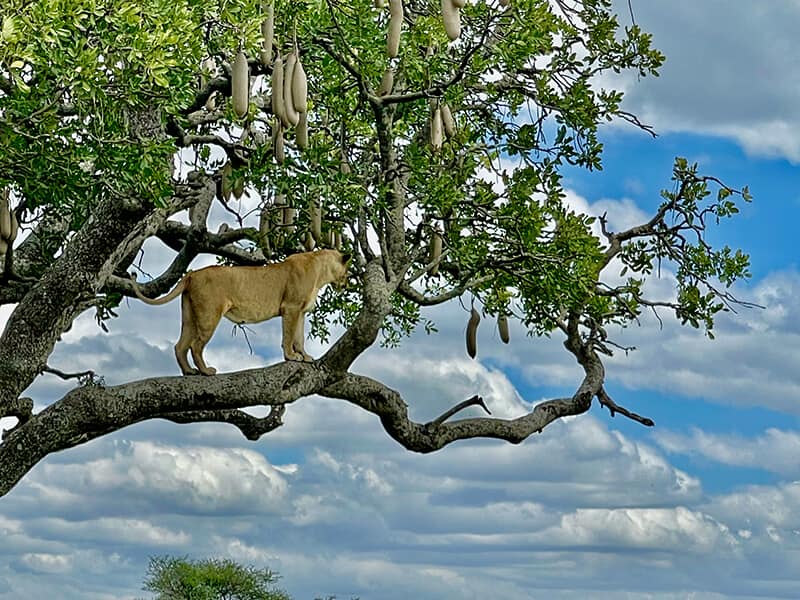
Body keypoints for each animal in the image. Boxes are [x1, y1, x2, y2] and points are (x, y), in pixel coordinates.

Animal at [130, 249, 350, 375]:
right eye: (348, 271)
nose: (347, 283)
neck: (321, 270)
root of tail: (192, 273)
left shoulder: (301, 311)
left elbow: (299, 337)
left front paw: (304, 356)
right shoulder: (291, 307)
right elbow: (289, 336)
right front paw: (290, 356)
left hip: (190, 315)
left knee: (180, 345)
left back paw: (189, 372)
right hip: (210, 313)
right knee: (195, 345)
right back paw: (206, 371)